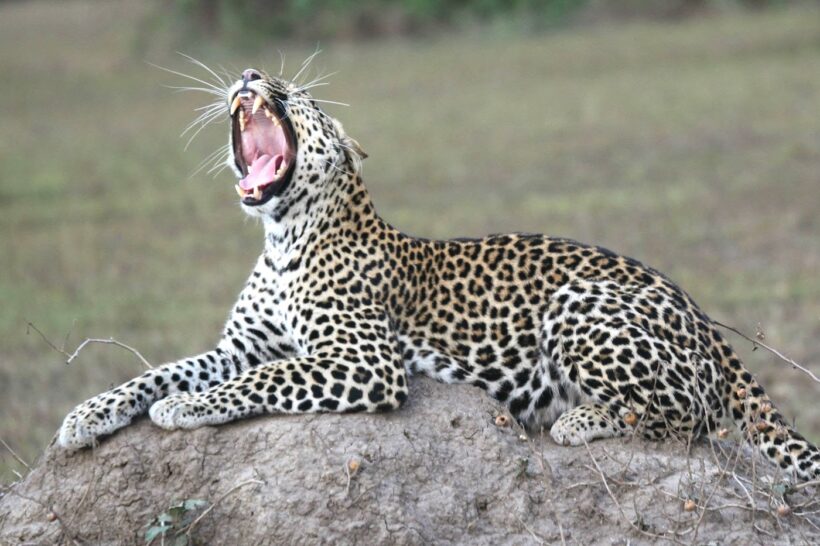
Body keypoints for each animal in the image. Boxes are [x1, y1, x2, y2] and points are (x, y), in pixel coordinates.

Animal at [59, 66, 820, 478]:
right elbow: (163, 369)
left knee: (690, 417)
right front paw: (87, 414)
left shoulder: (363, 360)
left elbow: (261, 381)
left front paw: (185, 409)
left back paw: (582, 420)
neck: (281, 237)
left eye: (301, 93)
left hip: (579, 305)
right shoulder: (240, 346)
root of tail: (697, 309)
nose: (249, 75)